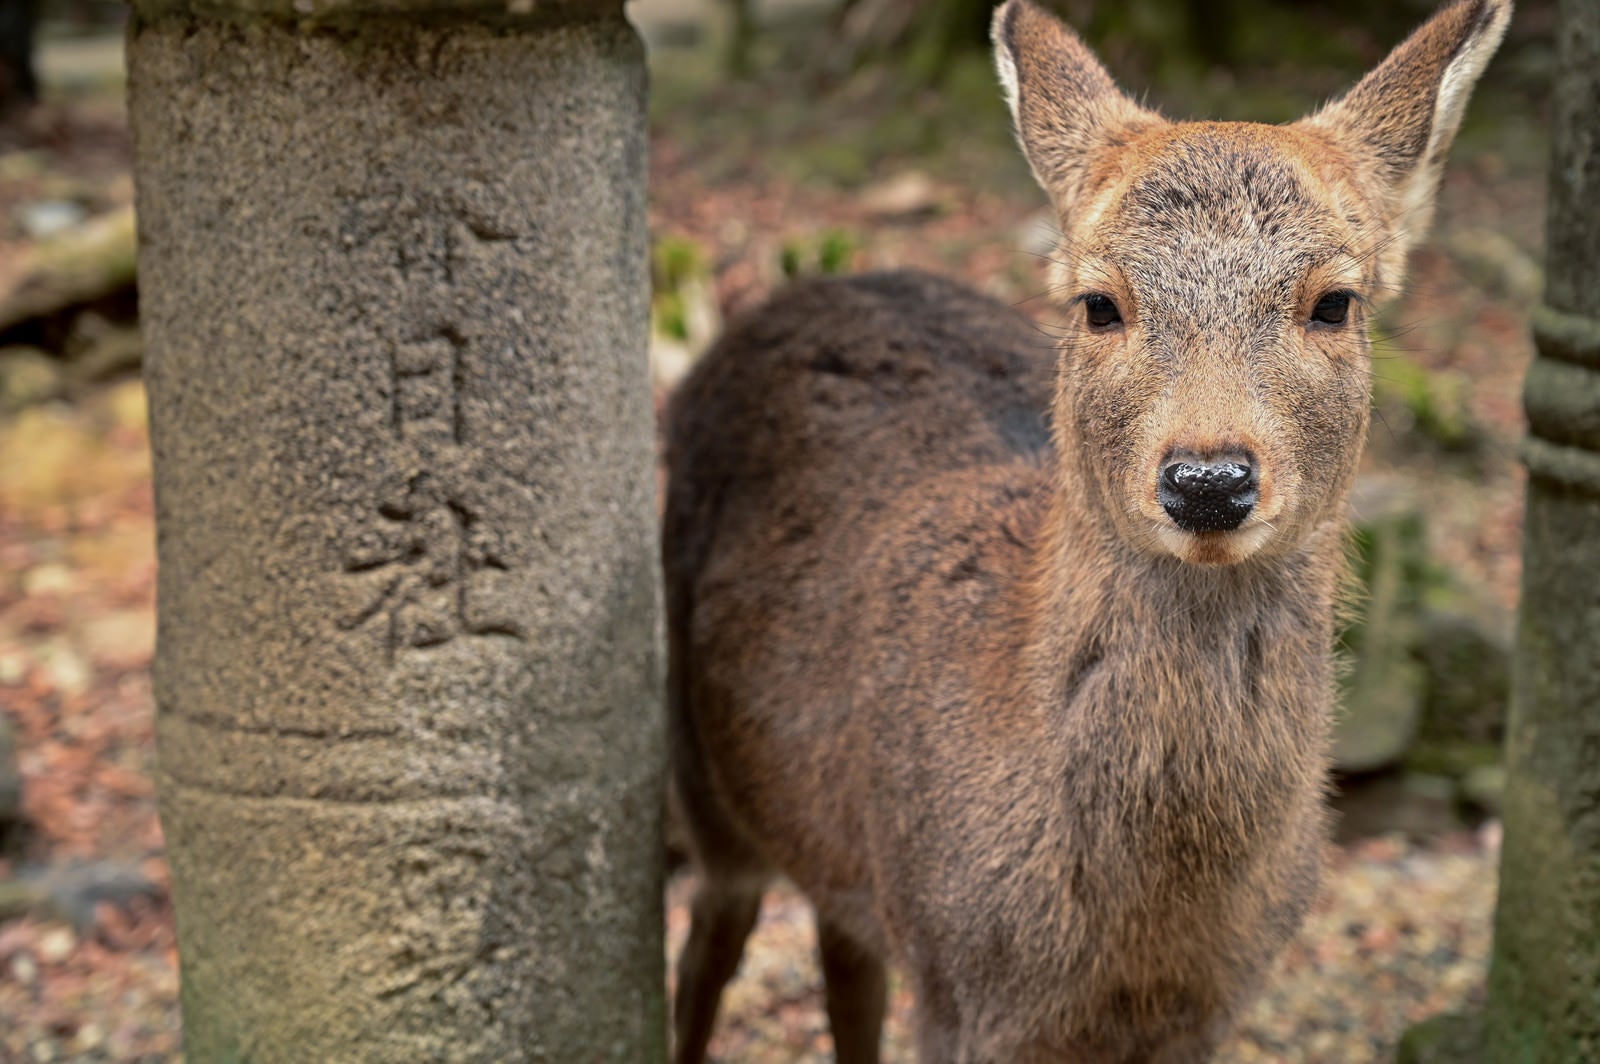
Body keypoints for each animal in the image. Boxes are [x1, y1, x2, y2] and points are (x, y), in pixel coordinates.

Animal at [662, 0, 1510, 1056]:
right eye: (1100, 302)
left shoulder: (1214, 1001)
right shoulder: (960, 981)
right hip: (697, 767)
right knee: (709, 944)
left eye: (1335, 301)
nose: (1208, 479)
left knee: (842, 957)